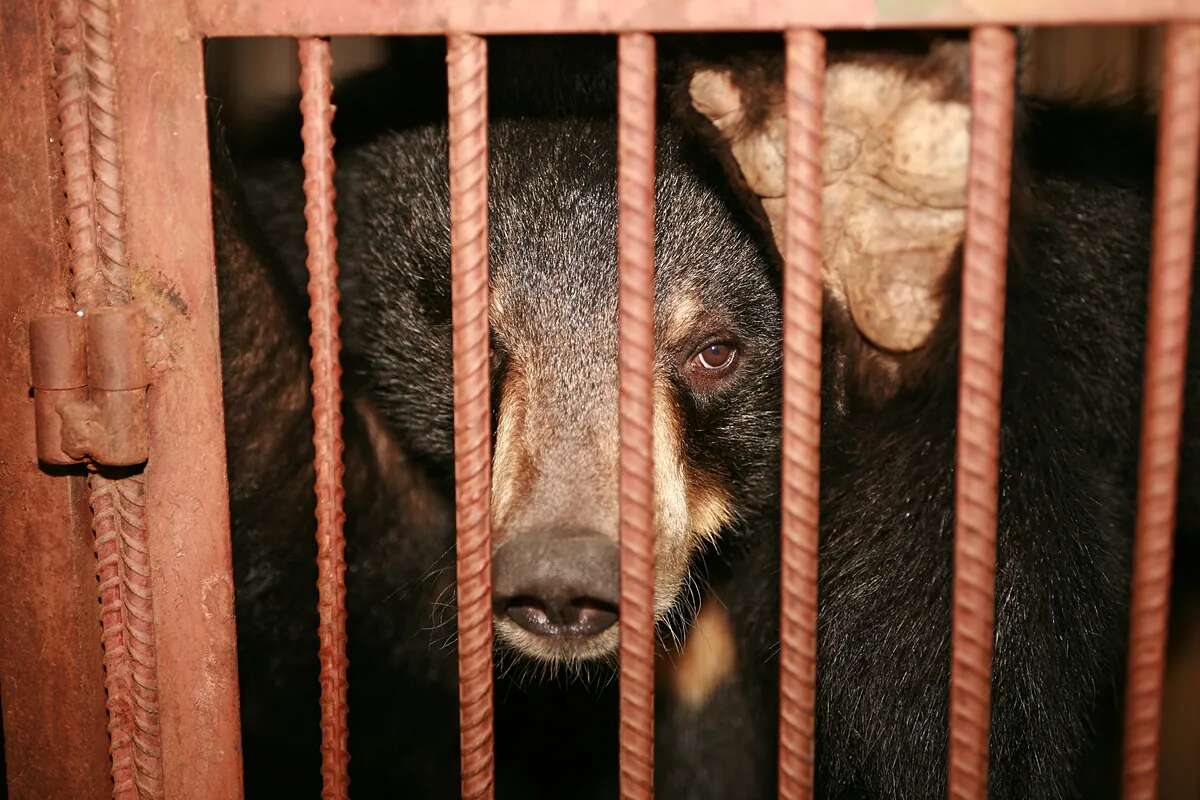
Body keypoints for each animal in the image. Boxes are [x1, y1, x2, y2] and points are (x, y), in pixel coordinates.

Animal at [216, 32, 1200, 800]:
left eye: (714, 351)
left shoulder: (1103, 318)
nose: (563, 582)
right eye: (465, 335)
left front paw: (878, 212)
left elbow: (949, 697)